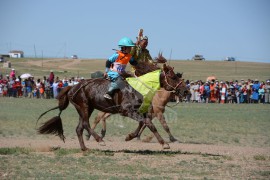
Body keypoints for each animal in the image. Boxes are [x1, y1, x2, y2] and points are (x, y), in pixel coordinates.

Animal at [37, 62, 185, 150]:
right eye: (173, 77)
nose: (184, 90)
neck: (137, 88)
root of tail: (73, 86)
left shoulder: (142, 111)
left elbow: (144, 123)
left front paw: (130, 136)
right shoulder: (128, 111)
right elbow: (149, 124)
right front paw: (164, 143)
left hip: (86, 108)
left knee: (80, 128)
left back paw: (85, 148)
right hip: (84, 107)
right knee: (85, 124)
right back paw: (99, 139)